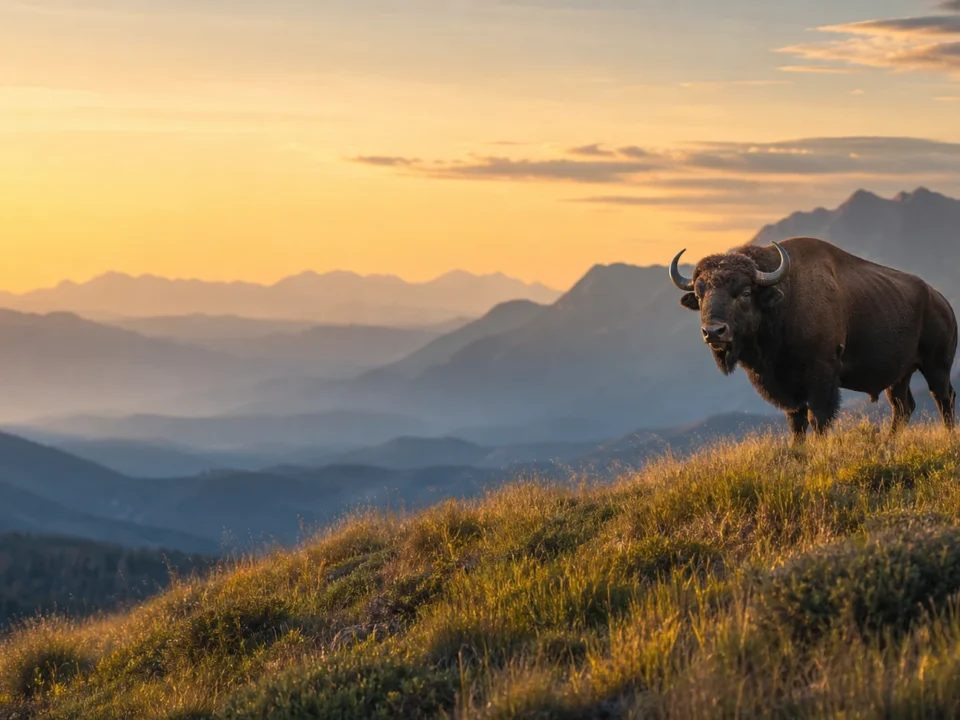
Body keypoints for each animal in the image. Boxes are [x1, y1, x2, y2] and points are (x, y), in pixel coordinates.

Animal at [669, 236, 957, 443]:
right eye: (700, 294)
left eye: (745, 292)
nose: (713, 331)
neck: (785, 298)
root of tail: (941, 301)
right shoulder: (786, 387)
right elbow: (796, 422)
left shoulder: (822, 376)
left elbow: (818, 417)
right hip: (899, 375)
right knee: (903, 406)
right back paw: (890, 441)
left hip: (936, 366)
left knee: (943, 397)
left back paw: (948, 436)